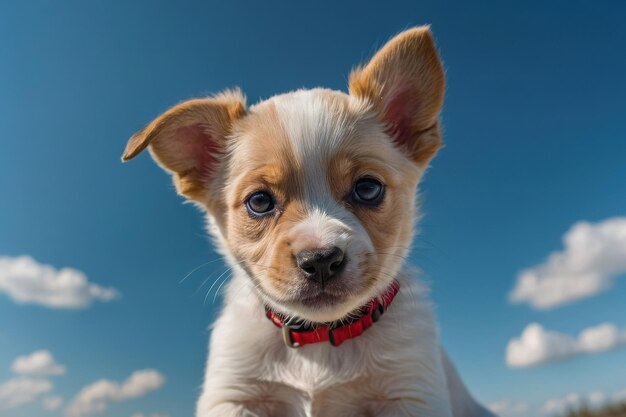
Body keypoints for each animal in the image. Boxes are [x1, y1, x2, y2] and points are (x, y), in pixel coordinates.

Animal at [122, 26, 494, 416]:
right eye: (259, 201)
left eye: (367, 188)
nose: (321, 260)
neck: (319, 342)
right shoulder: (234, 394)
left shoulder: (410, 390)